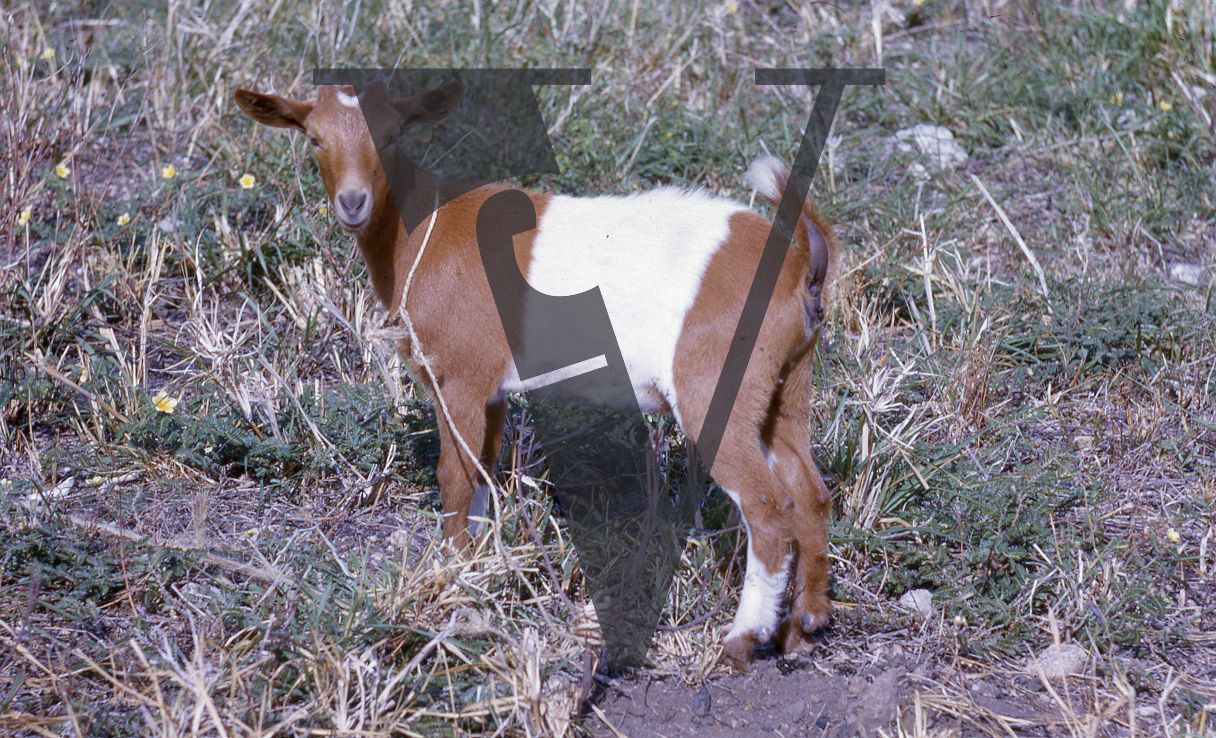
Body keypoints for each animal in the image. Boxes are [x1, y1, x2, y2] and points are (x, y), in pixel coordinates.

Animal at [233, 80, 841, 671]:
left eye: (392, 134)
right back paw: (803, 628)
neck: (424, 228)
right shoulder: (490, 391)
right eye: (314, 139)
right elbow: (482, 473)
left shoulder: (460, 377)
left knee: (767, 506)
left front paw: (448, 577)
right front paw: (478, 563)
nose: (353, 202)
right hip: (785, 386)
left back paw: (742, 639)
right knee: (809, 492)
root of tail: (800, 265)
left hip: (716, 384)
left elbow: (454, 477)